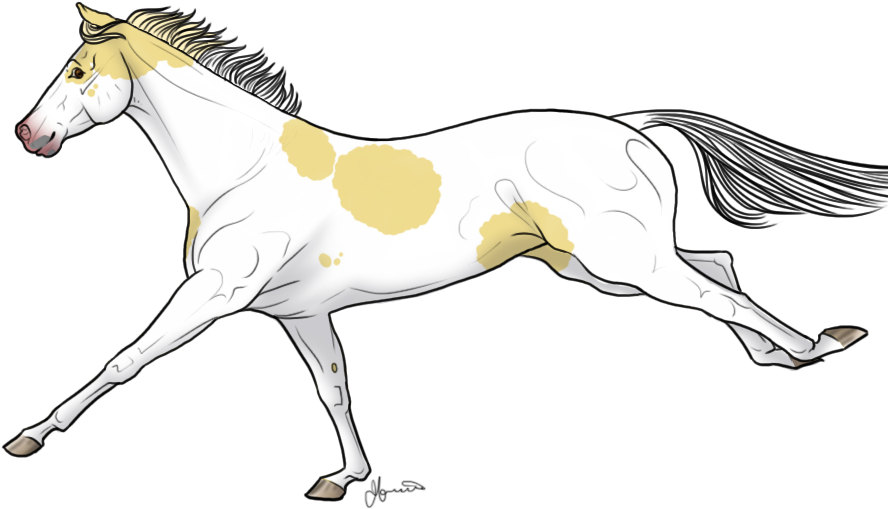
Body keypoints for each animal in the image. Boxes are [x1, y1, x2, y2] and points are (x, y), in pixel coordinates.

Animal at [8, 5, 887, 498]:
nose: (29, 134)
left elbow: (126, 357)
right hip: (605, 267)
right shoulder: (298, 313)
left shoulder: (217, 291)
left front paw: (32, 435)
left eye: (78, 70)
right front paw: (344, 478)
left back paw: (814, 345)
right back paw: (786, 354)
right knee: (719, 273)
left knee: (716, 290)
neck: (244, 168)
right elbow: (334, 389)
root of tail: (627, 125)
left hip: (624, 259)